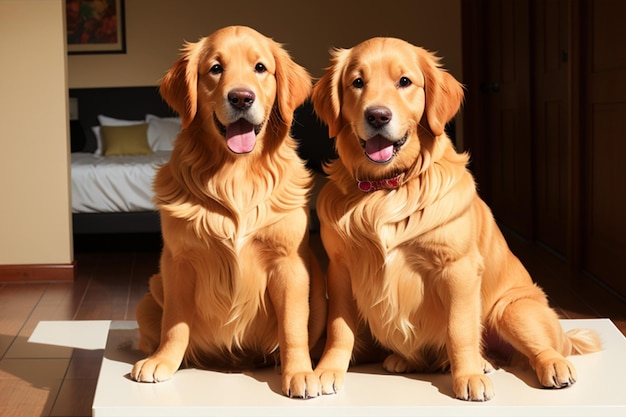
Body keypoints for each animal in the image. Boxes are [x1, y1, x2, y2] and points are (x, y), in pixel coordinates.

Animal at [130, 25, 326, 396]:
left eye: (260, 68)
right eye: (215, 68)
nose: (241, 98)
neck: (235, 174)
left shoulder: (289, 263)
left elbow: (293, 326)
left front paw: (299, 372)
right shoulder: (179, 261)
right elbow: (174, 323)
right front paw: (163, 361)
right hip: (149, 296)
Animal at [310, 37, 600, 402]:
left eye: (404, 81)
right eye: (357, 82)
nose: (377, 115)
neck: (386, 189)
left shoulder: (458, 268)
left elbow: (459, 329)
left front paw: (469, 376)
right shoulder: (341, 268)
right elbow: (339, 329)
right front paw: (327, 370)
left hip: (513, 309)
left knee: (545, 347)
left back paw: (543, 365)